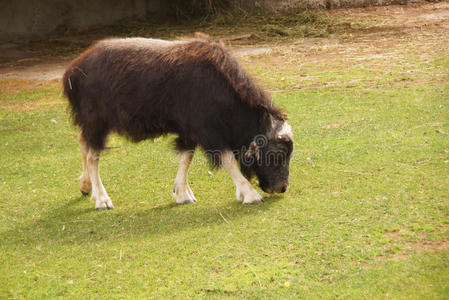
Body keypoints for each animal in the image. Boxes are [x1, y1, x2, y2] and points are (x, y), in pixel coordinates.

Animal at [64, 38, 294, 211]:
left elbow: (186, 157)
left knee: (83, 144)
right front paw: (250, 194)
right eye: (279, 153)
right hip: (96, 122)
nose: (282, 187)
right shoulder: (209, 133)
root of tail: (73, 69)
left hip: (91, 124)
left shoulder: (189, 132)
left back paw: (86, 188)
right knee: (93, 155)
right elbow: (228, 160)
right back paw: (102, 200)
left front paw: (182, 194)